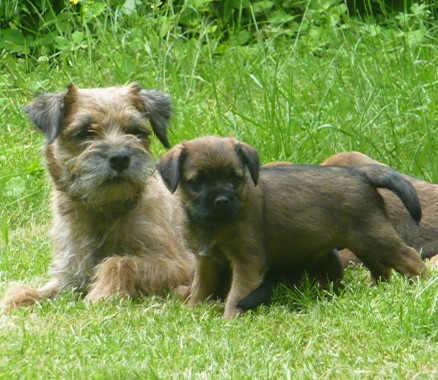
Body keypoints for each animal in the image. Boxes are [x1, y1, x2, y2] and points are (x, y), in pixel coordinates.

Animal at [1, 81, 193, 314]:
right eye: (85, 133)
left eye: (135, 131)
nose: (120, 158)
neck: (105, 211)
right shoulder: (71, 273)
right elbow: (47, 289)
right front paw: (18, 299)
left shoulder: (180, 264)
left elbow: (120, 262)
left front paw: (102, 293)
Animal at [158, 137, 428, 318]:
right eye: (197, 182)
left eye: (235, 178)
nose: (222, 200)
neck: (214, 224)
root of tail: (361, 173)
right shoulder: (207, 262)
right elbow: (200, 289)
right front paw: (194, 313)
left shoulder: (247, 262)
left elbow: (236, 295)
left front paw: (229, 320)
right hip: (363, 241)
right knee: (381, 267)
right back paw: (377, 289)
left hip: (374, 236)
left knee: (409, 257)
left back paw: (422, 285)